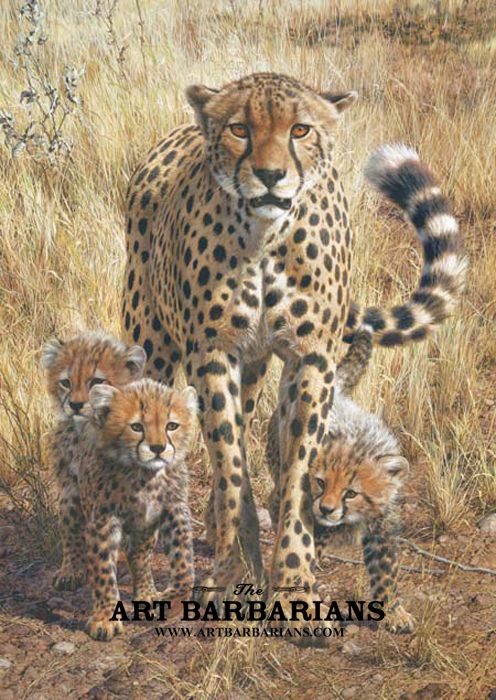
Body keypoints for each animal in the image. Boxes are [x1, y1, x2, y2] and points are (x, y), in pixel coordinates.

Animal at [41, 330, 146, 592]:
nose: (75, 405)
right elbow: (70, 529)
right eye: (66, 382)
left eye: (97, 381)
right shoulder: (70, 486)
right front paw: (71, 570)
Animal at [64, 378, 196, 641]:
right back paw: (70, 571)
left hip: (146, 526)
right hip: (71, 499)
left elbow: (184, 564)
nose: (158, 448)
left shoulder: (173, 508)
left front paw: (173, 598)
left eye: (172, 425)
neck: (145, 475)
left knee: (140, 556)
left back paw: (146, 593)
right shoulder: (103, 519)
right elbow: (103, 570)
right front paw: (105, 618)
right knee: (70, 533)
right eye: (136, 426)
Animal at [266, 327, 415, 634]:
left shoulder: (381, 527)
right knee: (274, 499)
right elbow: (301, 563)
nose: (326, 509)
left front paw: (394, 613)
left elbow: (386, 571)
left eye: (351, 493)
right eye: (320, 483)